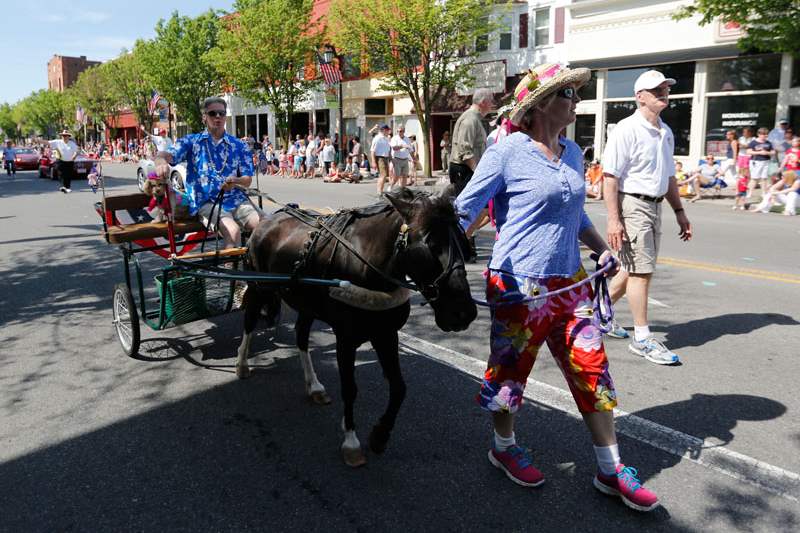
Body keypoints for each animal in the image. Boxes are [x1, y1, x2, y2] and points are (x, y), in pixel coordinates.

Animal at [236, 187, 476, 466]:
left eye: (463, 241)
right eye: (429, 244)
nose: (463, 313)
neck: (366, 266)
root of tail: (266, 220)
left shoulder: (386, 334)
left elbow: (399, 388)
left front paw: (380, 435)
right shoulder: (345, 339)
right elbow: (350, 389)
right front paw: (351, 441)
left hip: (306, 304)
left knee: (302, 337)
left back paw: (314, 385)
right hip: (259, 287)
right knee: (250, 322)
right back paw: (242, 364)